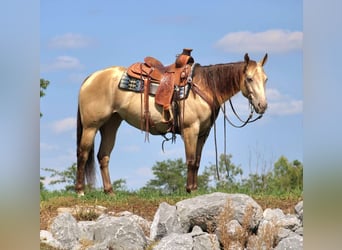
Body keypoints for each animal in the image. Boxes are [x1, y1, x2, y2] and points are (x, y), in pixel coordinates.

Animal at [75, 50, 268, 195]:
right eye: (249, 78)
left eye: (266, 79)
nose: (262, 106)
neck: (203, 87)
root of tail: (90, 77)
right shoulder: (190, 130)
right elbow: (190, 160)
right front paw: (189, 189)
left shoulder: (203, 133)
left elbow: (197, 162)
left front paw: (195, 189)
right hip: (91, 126)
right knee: (83, 154)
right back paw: (80, 191)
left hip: (111, 124)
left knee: (103, 156)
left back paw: (110, 192)